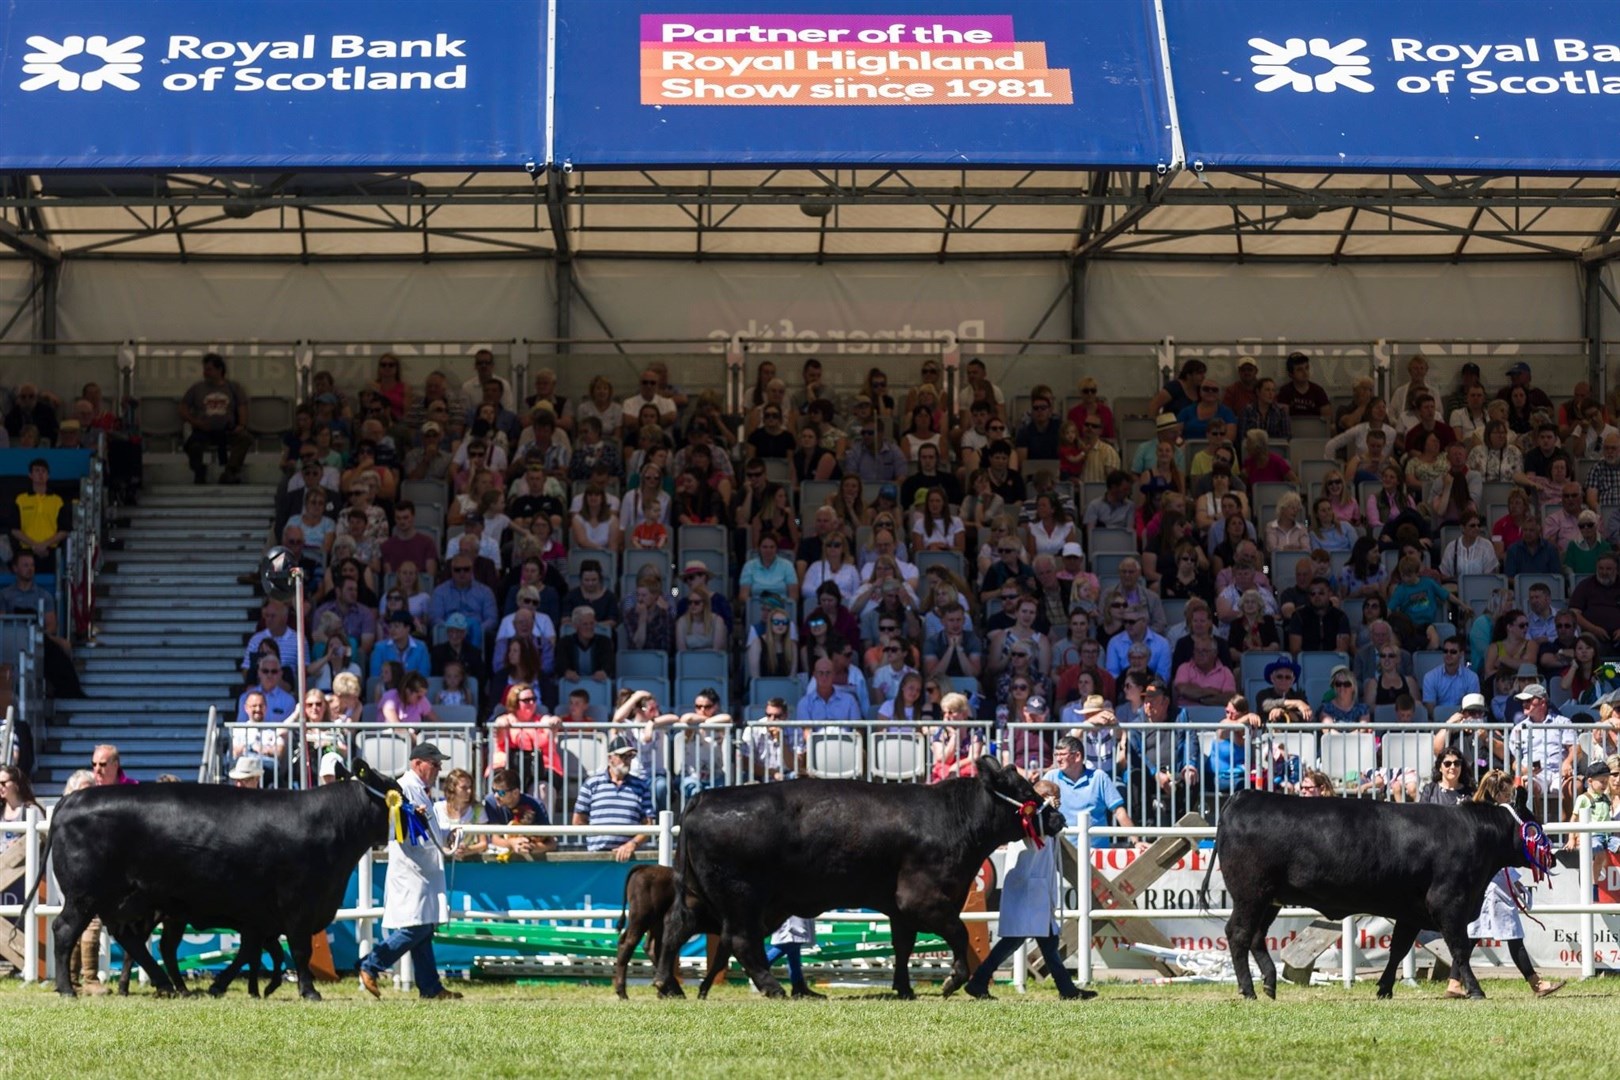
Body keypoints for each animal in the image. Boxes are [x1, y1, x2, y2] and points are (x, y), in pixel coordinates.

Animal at [24, 764, 395, 1003]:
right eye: (395, 792)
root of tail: (71, 800)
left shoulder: (260, 917)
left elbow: (253, 952)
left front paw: (237, 987)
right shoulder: (297, 905)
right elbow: (299, 951)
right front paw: (309, 991)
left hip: (134, 902)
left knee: (135, 942)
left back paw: (169, 986)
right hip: (84, 896)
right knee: (65, 931)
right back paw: (68, 989)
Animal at [651, 757, 1069, 1003]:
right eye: (1024, 791)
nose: (1058, 818)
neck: (953, 818)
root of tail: (705, 797)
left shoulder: (901, 908)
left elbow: (903, 946)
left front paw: (904, 989)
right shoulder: (923, 898)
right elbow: (960, 933)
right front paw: (953, 981)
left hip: (699, 895)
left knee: (675, 926)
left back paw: (668, 985)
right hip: (742, 899)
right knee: (739, 939)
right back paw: (773, 988)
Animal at [1205, 790, 1555, 1003]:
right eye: (1534, 824)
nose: (1551, 857)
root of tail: (1244, 795)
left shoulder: (1413, 912)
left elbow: (1398, 949)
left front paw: (1384, 988)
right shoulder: (1449, 902)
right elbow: (1459, 949)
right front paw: (1476, 990)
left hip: (1270, 899)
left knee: (1255, 937)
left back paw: (1268, 984)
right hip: (1251, 893)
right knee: (1238, 934)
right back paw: (1248, 989)